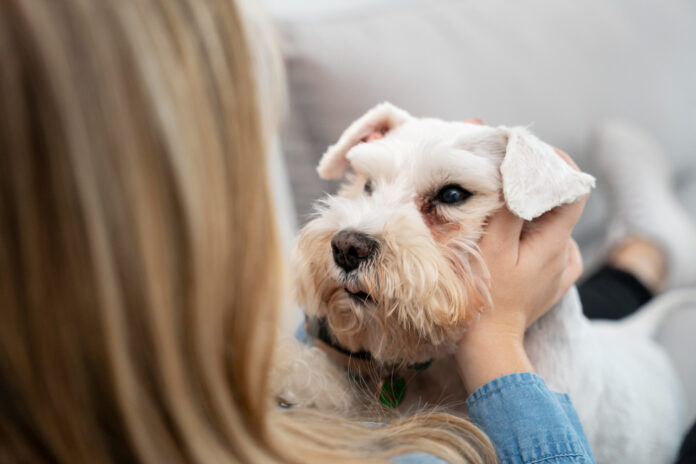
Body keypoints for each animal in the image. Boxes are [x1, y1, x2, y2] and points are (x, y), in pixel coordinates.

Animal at [280, 102, 688, 464]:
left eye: (452, 194)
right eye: (367, 185)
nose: (347, 247)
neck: (443, 365)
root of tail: (634, 333)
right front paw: (291, 372)